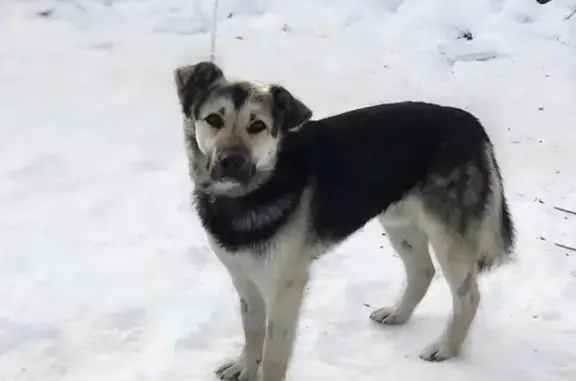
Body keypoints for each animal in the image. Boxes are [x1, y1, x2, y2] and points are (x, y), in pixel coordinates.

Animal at [173, 60, 516, 378]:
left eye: (257, 126)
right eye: (214, 120)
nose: (231, 161)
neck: (255, 190)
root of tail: (469, 121)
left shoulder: (285, 287)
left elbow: (273, 355)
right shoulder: (245, 279)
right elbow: (252, 331)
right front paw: (244, 367)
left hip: (448, 239)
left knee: (468, 296)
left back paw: (446, 347)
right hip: (399, 223)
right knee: (422, 271)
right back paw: (398, 314)